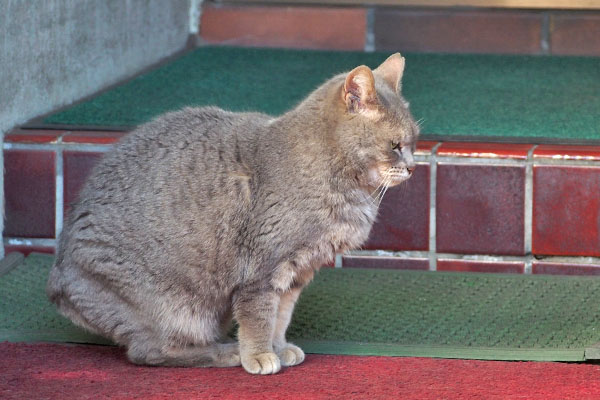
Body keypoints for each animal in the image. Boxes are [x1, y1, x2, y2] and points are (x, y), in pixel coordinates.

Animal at [47, 51, 420, 374]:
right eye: (395, 146)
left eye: (415, 141)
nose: (414, 167)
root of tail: (59, 283)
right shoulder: (261, 270)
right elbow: (259, 318)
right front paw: (259, 355)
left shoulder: (298, 271)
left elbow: (281, 317)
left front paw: (279, 347)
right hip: (175, 309)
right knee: (148, 351)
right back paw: (225, 352)